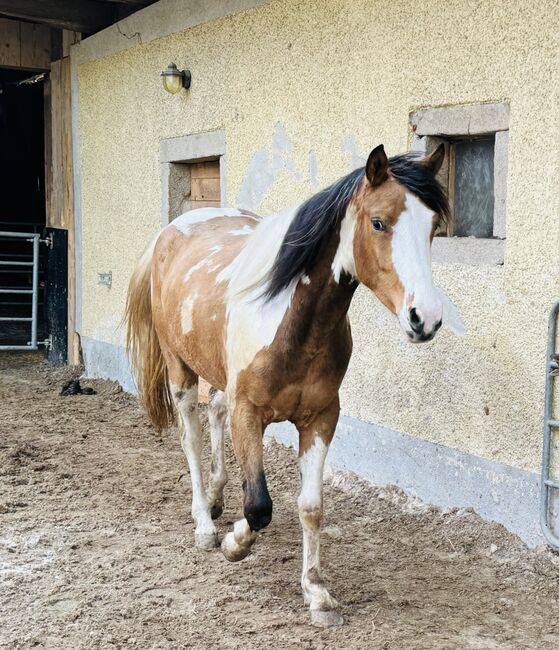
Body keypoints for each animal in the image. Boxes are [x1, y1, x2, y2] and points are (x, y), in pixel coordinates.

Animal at [126, 142, 460, 624]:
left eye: (433, 226)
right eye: (378, 222)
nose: (426, 318)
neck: (293, 322)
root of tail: (169, 233)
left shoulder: (320, 419)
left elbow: (311, 507)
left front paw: (316, 591)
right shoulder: (250, 415)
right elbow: (259, 505)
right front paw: (234, 544)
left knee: (215, 412)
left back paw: (216, 498)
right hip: (179, 369)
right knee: (191, 435)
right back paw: (205, 523)